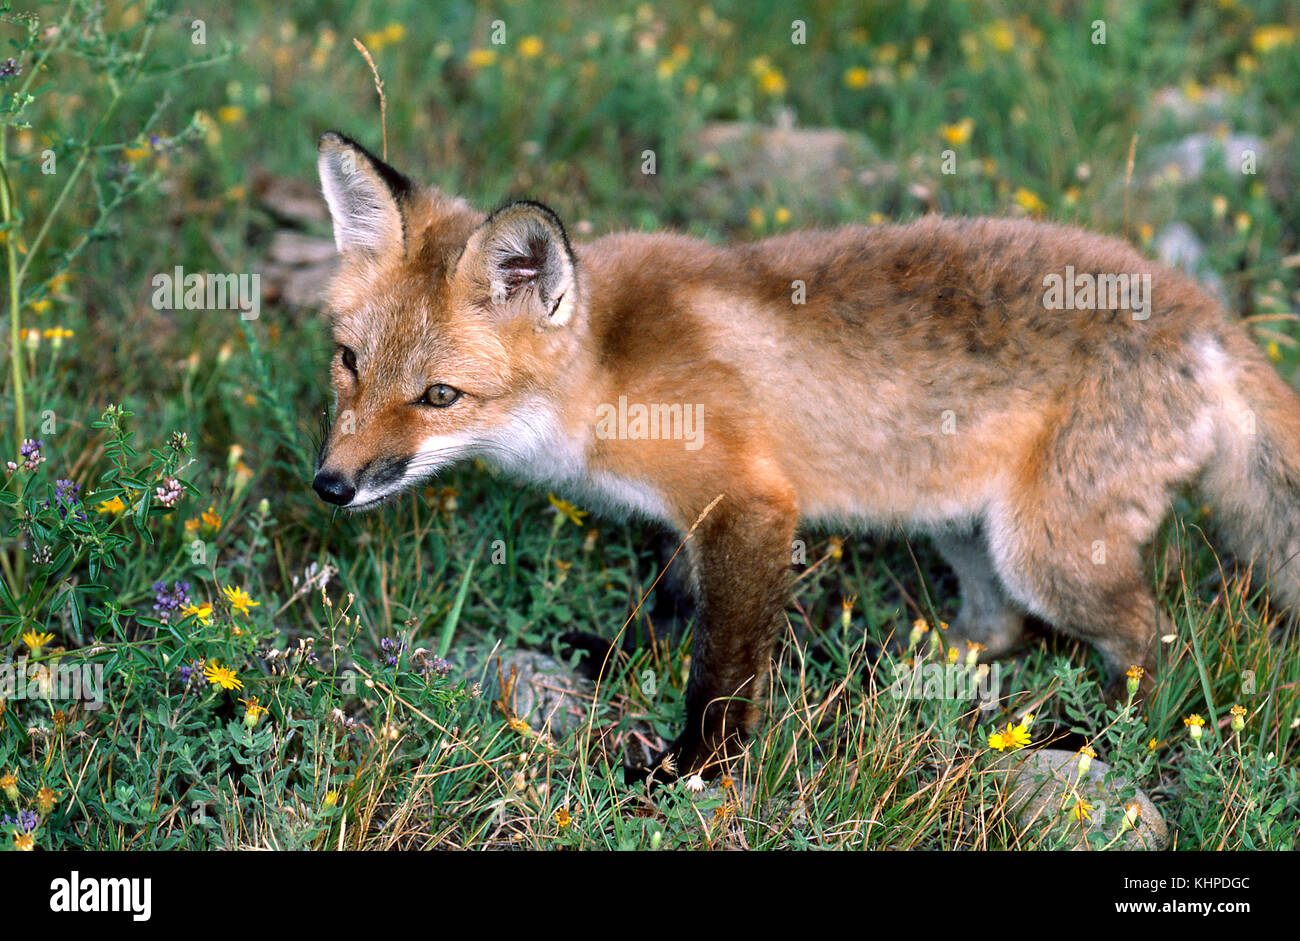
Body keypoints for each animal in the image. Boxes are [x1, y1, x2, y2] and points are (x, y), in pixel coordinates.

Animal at [310, 130, 1300, 779]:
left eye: (439, 396)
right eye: (349, 361)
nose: (329, 485)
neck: (606, 370)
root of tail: (1209, 316)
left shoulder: (751, 505)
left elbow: (720, 669)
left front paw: (694, 767)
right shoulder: (691, 514)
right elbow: (667, 611)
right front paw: (614, 660)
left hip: (1051, 553)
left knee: (1145, 638)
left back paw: (1105, 736)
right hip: (964, 527)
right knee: (1000, 628)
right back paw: (910, 671)